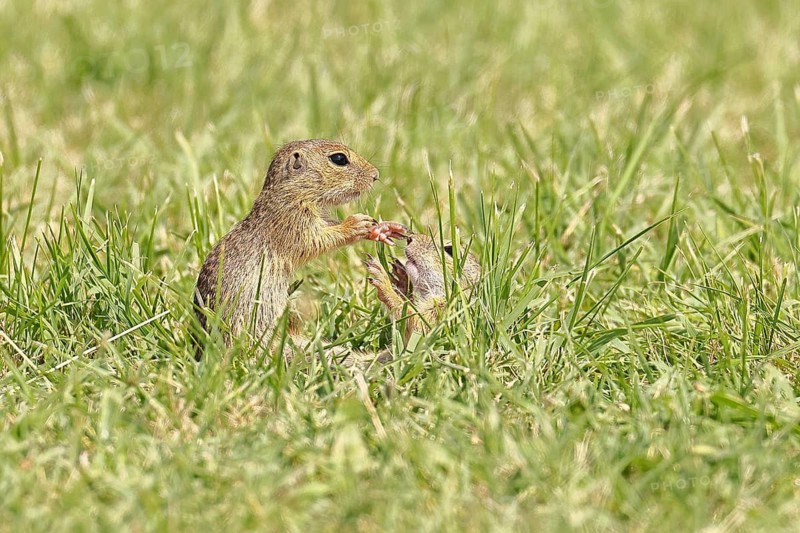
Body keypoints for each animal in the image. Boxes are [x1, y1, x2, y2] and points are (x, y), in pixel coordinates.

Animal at [194, 139, 406, 354]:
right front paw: (356, 224)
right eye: (339, 159)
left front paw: (385, 228)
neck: (294, 191)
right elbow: (317, 240)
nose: (375, 175)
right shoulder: (293, 220)